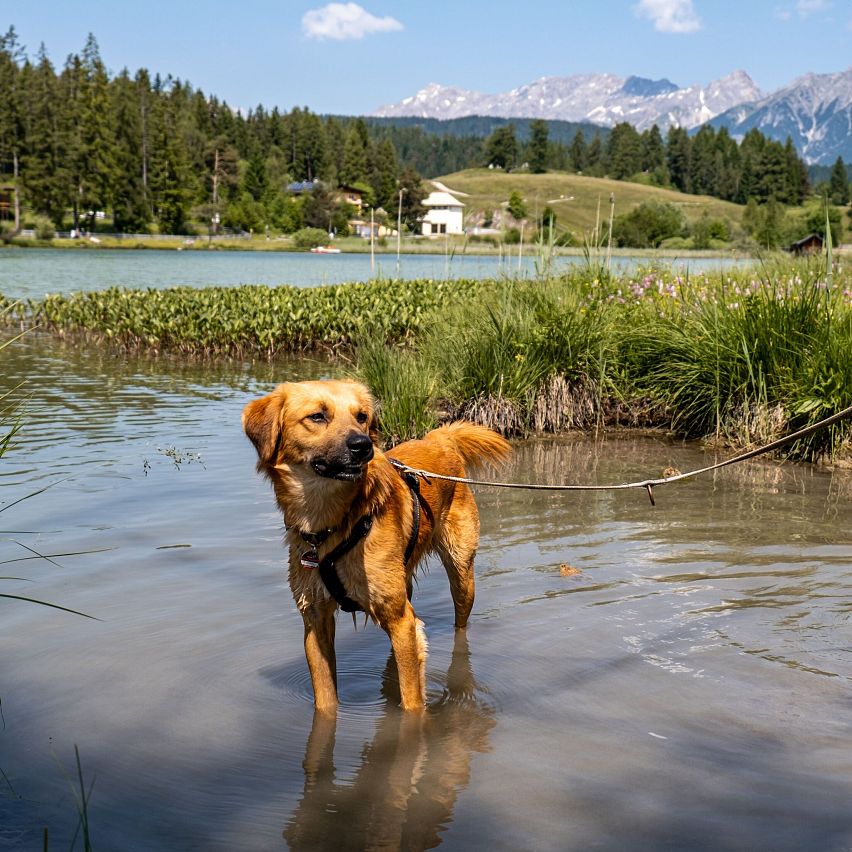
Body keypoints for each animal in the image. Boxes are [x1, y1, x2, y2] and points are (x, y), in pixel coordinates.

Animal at [240, 382, 510, 712]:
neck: (333, 524)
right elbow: (325, 700)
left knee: (459, 623)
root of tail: (437, 439)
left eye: (362, 416)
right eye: (317, 416)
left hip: (460, 576)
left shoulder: (400, 621)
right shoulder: (315, 621)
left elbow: (412, 703)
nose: (363, 445)